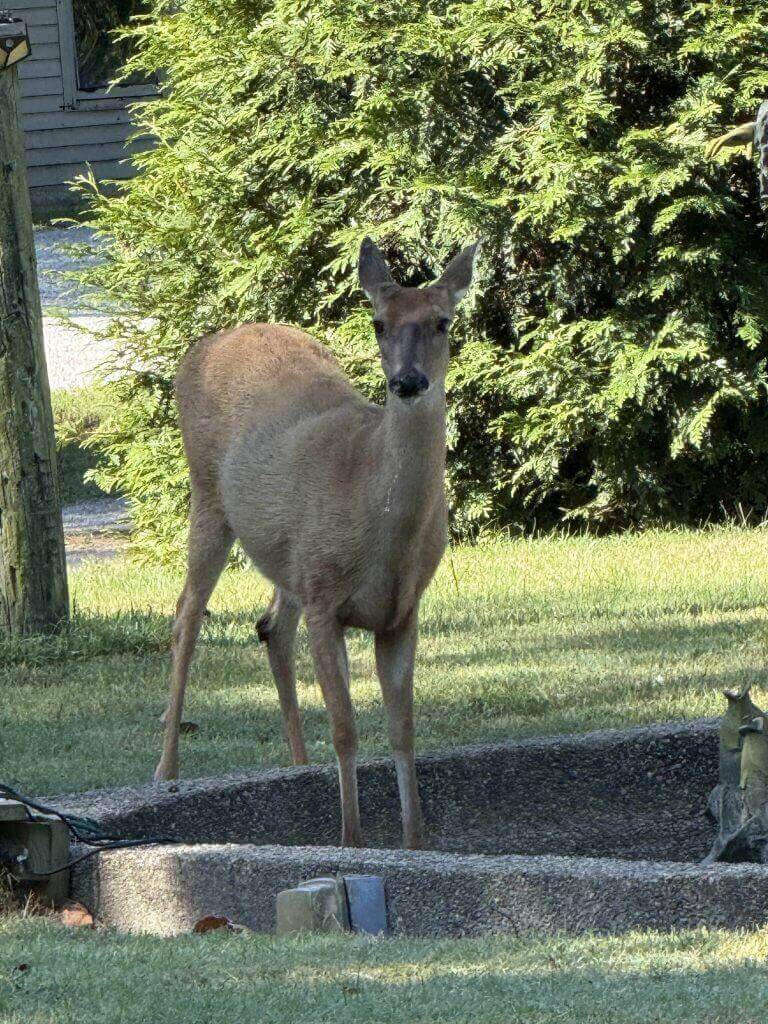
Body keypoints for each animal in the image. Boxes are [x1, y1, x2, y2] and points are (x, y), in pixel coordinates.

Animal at [154, 236, 480, 850]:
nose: (408, 382)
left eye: (442, 322)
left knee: (269, 625)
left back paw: (298, 764)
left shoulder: (402, 610)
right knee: (186, 615)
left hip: (289, 557)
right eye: (378, 323)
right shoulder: (326, 599)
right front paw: (352, 841)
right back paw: (166, 770)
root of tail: (202, 345)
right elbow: (346, 728)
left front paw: (415, 843)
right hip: (208, 496)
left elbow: (402, 729)